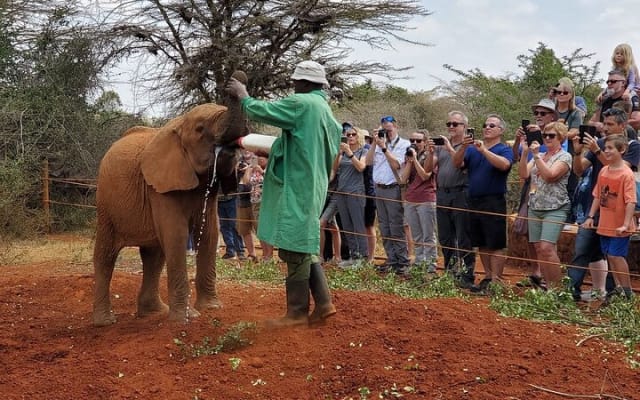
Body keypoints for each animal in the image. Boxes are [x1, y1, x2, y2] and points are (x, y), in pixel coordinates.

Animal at [92, 97, 248, 326]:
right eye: (200, 129)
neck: (180, 124)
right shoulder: (158, 187)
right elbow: (177, 234)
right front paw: (187, 318)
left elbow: (210, 233)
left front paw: (212, 308)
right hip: (106, 206)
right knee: (106, 256)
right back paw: (104, 321)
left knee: (153, 258)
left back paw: (154, 312)